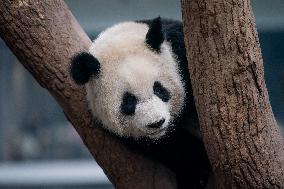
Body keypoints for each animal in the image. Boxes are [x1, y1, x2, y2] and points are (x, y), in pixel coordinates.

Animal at [70, 17, 212, 188]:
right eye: (129, 101)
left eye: (159, 89)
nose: (156, 123)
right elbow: (172, 148)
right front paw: (199, 168)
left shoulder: (181, 52)